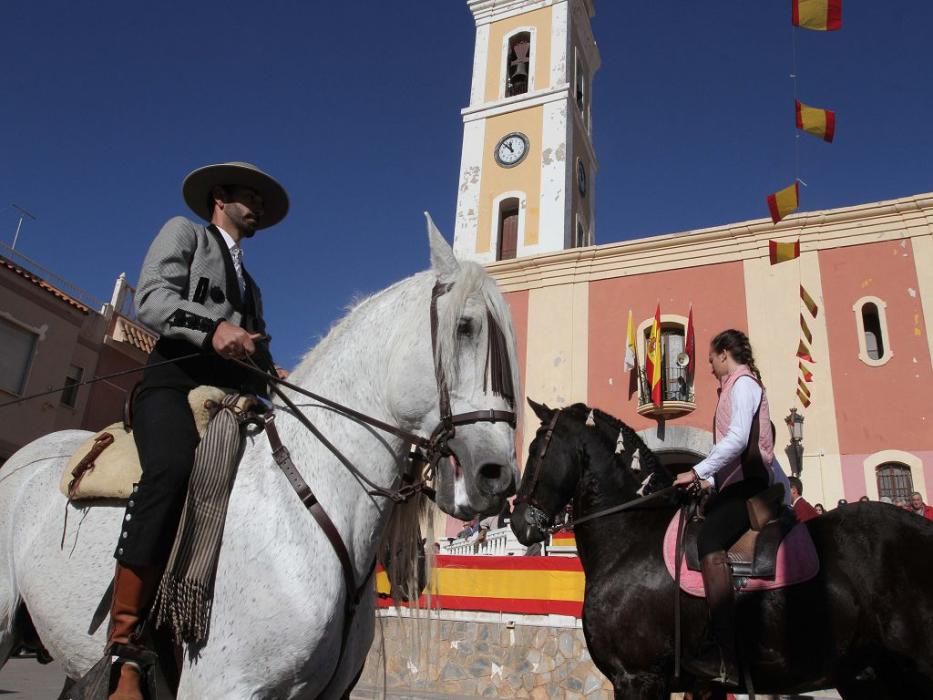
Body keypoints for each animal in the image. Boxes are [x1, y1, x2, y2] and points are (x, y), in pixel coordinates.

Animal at [510, 402, 932, 696]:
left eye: (536, 451)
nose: (517, 524)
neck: (632, 538)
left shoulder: (636, 677)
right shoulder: (698, 685)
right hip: (868, 675)